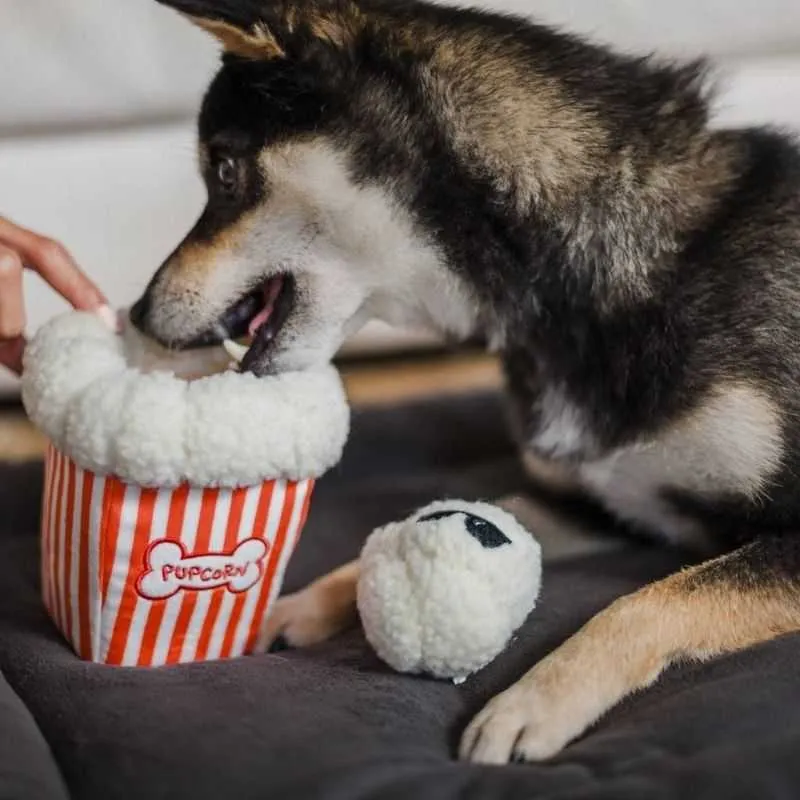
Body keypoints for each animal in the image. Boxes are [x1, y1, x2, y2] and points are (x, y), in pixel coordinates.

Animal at [133, 0, 800, 764]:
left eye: (224, 171)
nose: (138, 313)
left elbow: (645, 602)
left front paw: (530, 704)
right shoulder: (599, 504)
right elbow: (403, 535)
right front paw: (296, 607)